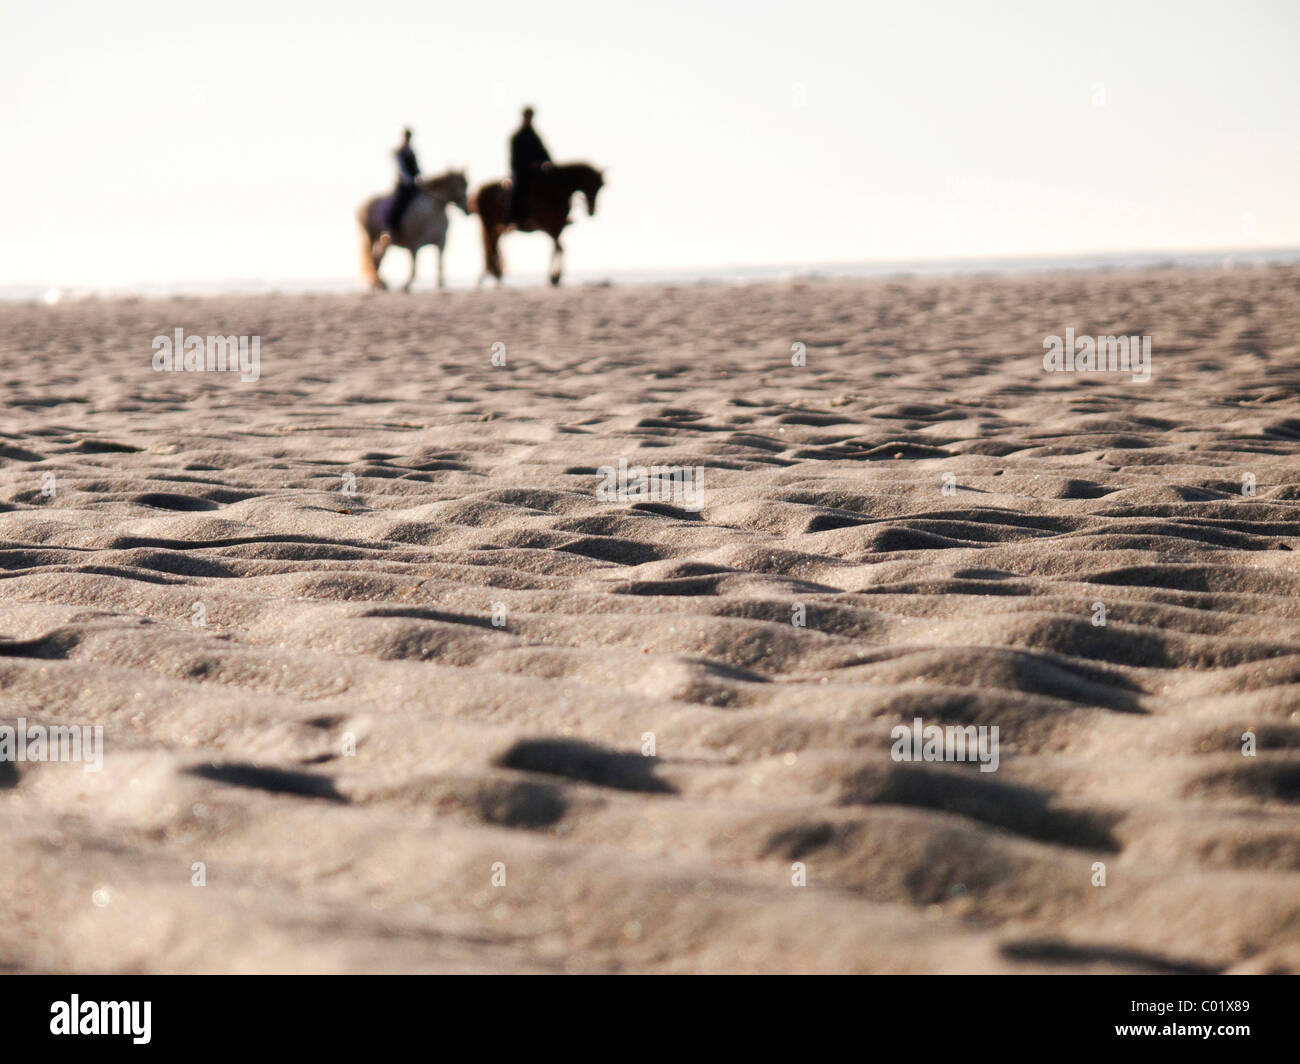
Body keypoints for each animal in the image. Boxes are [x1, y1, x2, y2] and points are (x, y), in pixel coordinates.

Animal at [473, 160, 603, 283]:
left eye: (600, 187)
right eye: (593, 185)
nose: (592, 211)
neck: (558, 191)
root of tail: (479, 190)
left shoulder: (556, 229)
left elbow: (557, 248)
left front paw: (554, 276)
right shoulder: (551, 227)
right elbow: (559, 248)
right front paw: (555, 276)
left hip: (495, 227)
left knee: (492, 246)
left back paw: (494, 274)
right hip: (489, 224)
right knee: (491, 247)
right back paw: (494, 274)